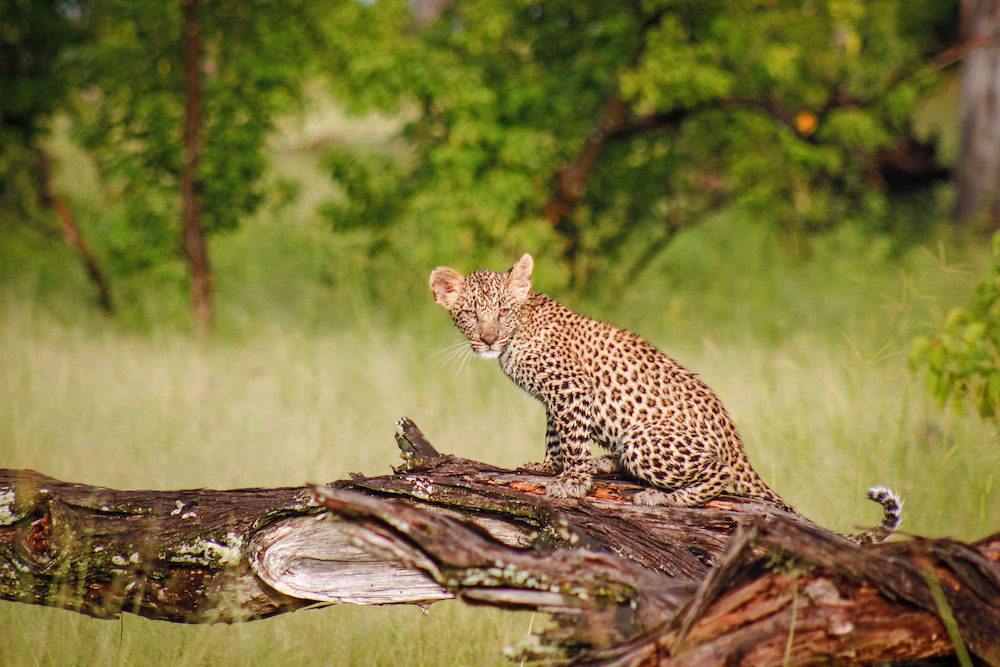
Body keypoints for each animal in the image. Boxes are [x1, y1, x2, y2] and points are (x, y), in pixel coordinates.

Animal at [430, 252, 902, 545]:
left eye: (502, 311)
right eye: (470, 314)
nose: (488, 339)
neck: (517, 334)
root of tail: (736, 443)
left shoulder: (572, 389)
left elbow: (571, 440)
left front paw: (571, 482)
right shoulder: (555, 398)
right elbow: (556, 437)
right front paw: (548, 467)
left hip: (650, 440)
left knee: (719, 474)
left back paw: (660, 496)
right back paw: (609, 464)